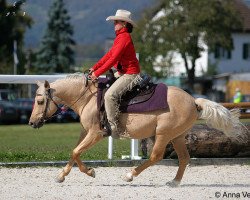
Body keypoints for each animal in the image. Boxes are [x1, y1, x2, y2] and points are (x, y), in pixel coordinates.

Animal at [28, 74, 243, 187]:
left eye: (39, 101)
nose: (31, 123)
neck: (87, 98)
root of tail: (193, 100)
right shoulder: (85, 132)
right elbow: (74, 153)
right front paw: (63, 175)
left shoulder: (96, 134)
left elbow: (75, 152)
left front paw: (89, 172)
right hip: (178, 136)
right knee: (184, 158)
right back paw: (174, 182)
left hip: (163, 134)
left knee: (156, 156)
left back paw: (130, 175)